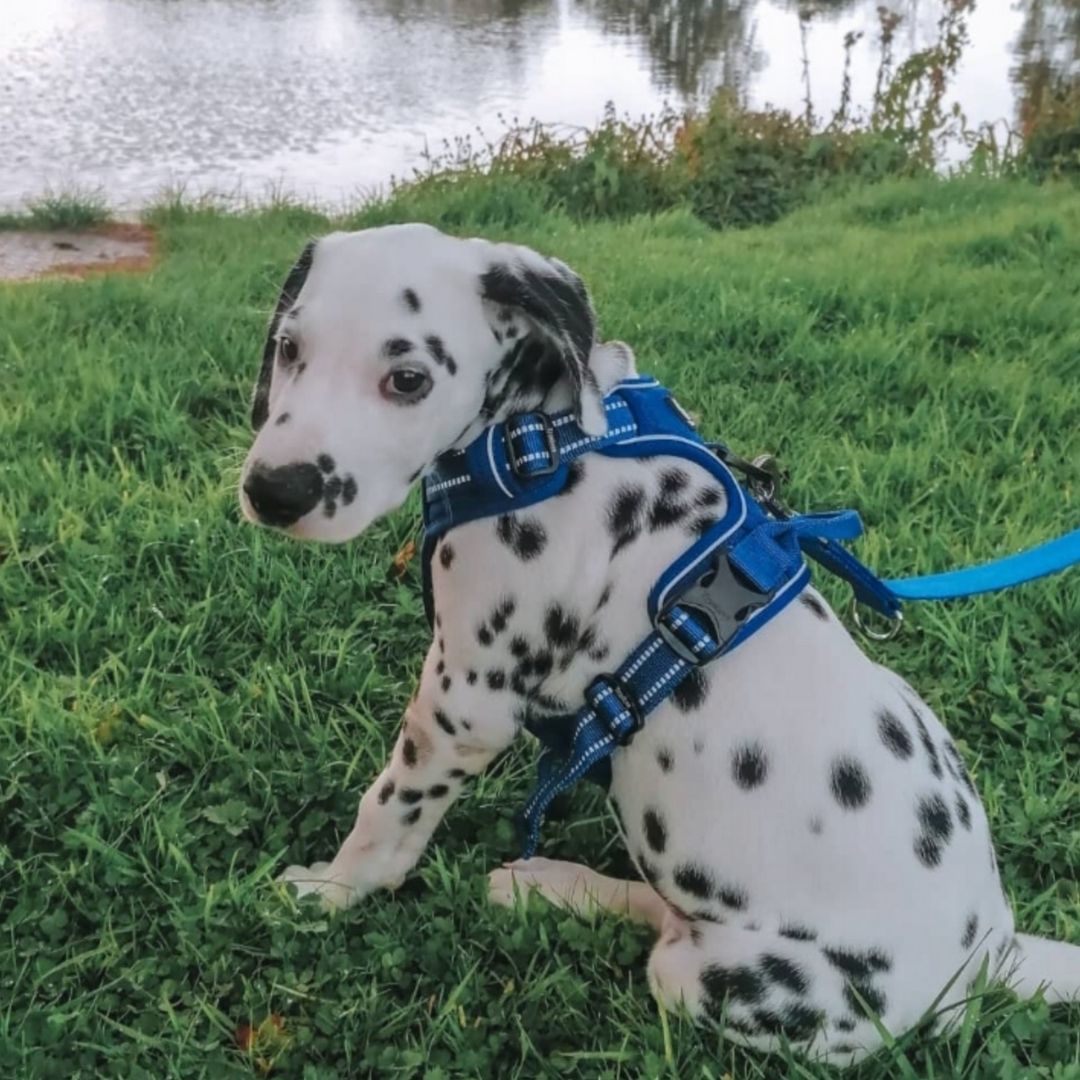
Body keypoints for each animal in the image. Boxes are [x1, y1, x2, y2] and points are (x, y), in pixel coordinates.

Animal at [238, 223, 1080, 1067]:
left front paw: (333, 891)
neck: (544, 443)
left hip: (715, 977)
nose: (274, 490)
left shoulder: (462, 707)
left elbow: (387, 812)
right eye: (287, 347)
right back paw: (545, 883)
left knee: (669, 928)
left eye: (407, 378)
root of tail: (994, 951)